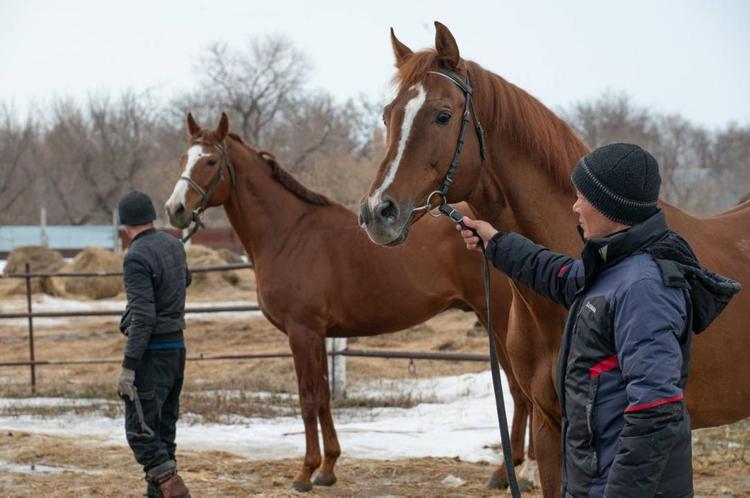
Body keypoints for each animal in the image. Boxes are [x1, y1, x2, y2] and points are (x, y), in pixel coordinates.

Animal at [166, 115, 536, 492]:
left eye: (210, 161)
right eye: (182, 159)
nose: (175, 210)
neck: (289, 233)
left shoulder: (302, 332)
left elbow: (307, 399)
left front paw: (304, 473)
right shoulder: (318, 335)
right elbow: (324, 398)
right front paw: (328, 468)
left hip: (499, 320)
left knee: (522, 392)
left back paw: (516, 472)